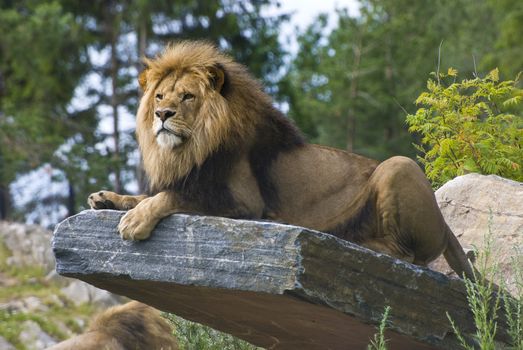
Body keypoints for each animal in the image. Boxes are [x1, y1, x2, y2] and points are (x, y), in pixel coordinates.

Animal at [89, 41, 474, 280]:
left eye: (186, 97)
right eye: (159, 96)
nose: (162, 115)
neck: (192, 147)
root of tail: (444, 224)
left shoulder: (245, 205)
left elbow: (172, 197)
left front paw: (135, 221)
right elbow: (148, 194)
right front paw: (108, 198)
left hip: (398, 166)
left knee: (405, 256)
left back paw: (353, 241)